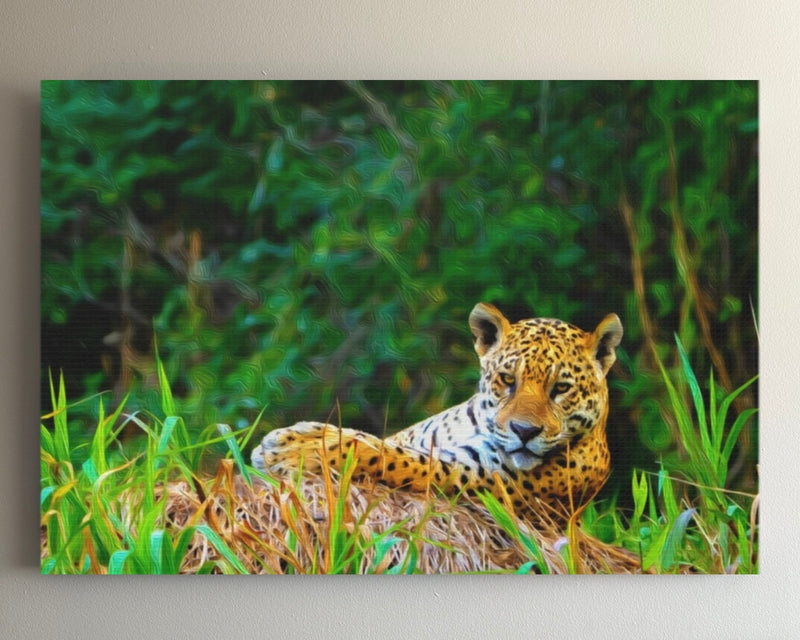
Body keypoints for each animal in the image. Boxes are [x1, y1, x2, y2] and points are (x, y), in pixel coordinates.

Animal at [251, 302, 623, 523]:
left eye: (561, 388)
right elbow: (383, 441)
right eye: (508, 379)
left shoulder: (473, 475)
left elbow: (389, 455)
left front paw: (292, 448)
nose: (524, 431)